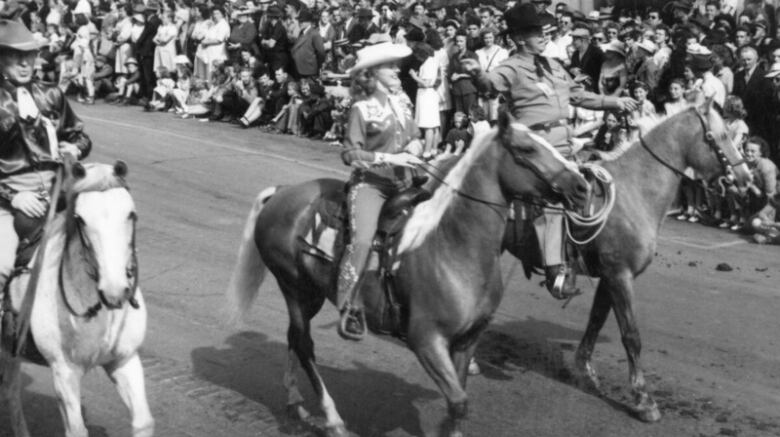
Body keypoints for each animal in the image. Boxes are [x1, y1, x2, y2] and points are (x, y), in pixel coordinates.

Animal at [0, 161, 154, 436]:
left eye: (131, 214)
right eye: (80, 219)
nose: (115, 291)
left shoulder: (125, 361)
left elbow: (143, 422)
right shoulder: (64, 372)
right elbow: (77, 430)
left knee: (9, 390)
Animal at [225, 113, 592, 436]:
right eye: (527, 149)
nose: (582, 186)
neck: (452, 245)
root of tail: (282, 192)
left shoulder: (467, 341)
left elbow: (459, 400)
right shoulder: (425, 340)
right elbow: (458, 402)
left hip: (311, 294)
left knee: (293, 338)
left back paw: (295, 401)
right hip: (293, 286)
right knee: (303, 344)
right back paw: (332, 419)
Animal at [502, 98, 752, 418]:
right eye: (719, 137)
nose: (745, 180)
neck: (634, 190)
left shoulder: (611, 277)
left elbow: (596, 321)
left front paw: (585, 372)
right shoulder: (619, 275)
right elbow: (631, 335)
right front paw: (643, 398)